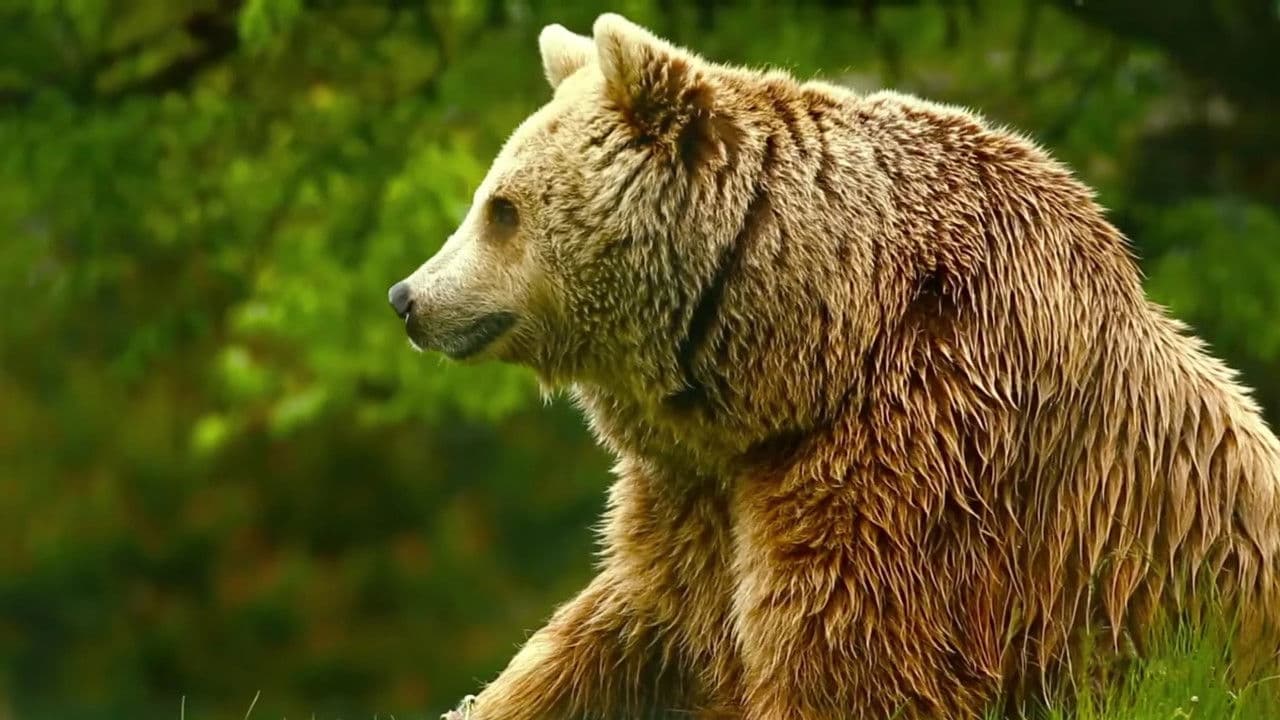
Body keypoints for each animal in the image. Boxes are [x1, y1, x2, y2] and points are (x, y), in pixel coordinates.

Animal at [387, 14, 1280, 720]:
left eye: (501, 209)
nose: (407, 296)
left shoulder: (924, 450)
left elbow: (845, 656)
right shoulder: (698, 490)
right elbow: (621, 627)